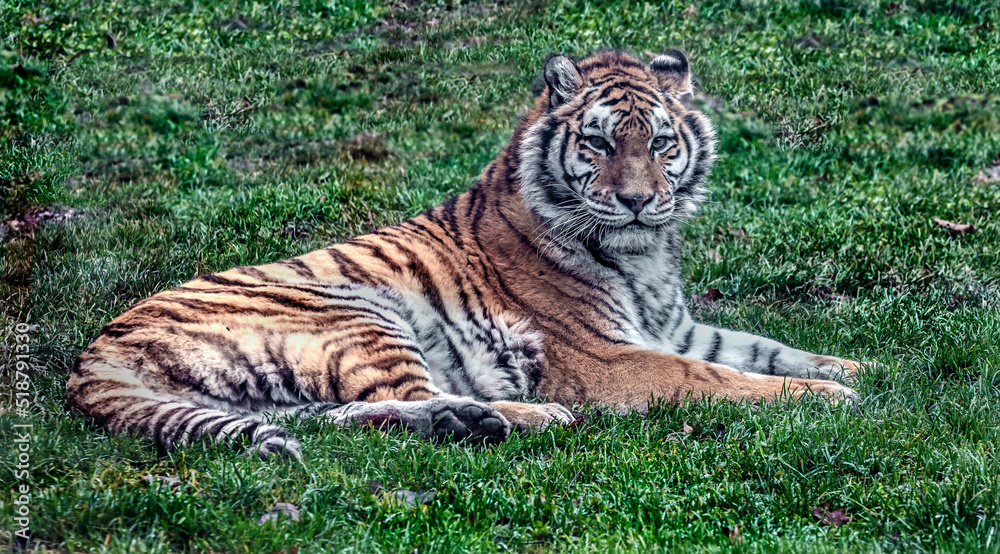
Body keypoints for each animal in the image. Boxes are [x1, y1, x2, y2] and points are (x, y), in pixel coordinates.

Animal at [67, 50, 861, 461]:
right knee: (397, 398)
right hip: (359, 313)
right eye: (600, 143)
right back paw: (515, 417)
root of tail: (93, 354)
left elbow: (764, 347)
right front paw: (830, 399)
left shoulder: (674, 326)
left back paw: (470, 422)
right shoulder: (609, 356)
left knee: (349, 418)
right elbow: (718, 377)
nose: (639, 201)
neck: (644, 254)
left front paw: (857, 368)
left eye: (662, 143)